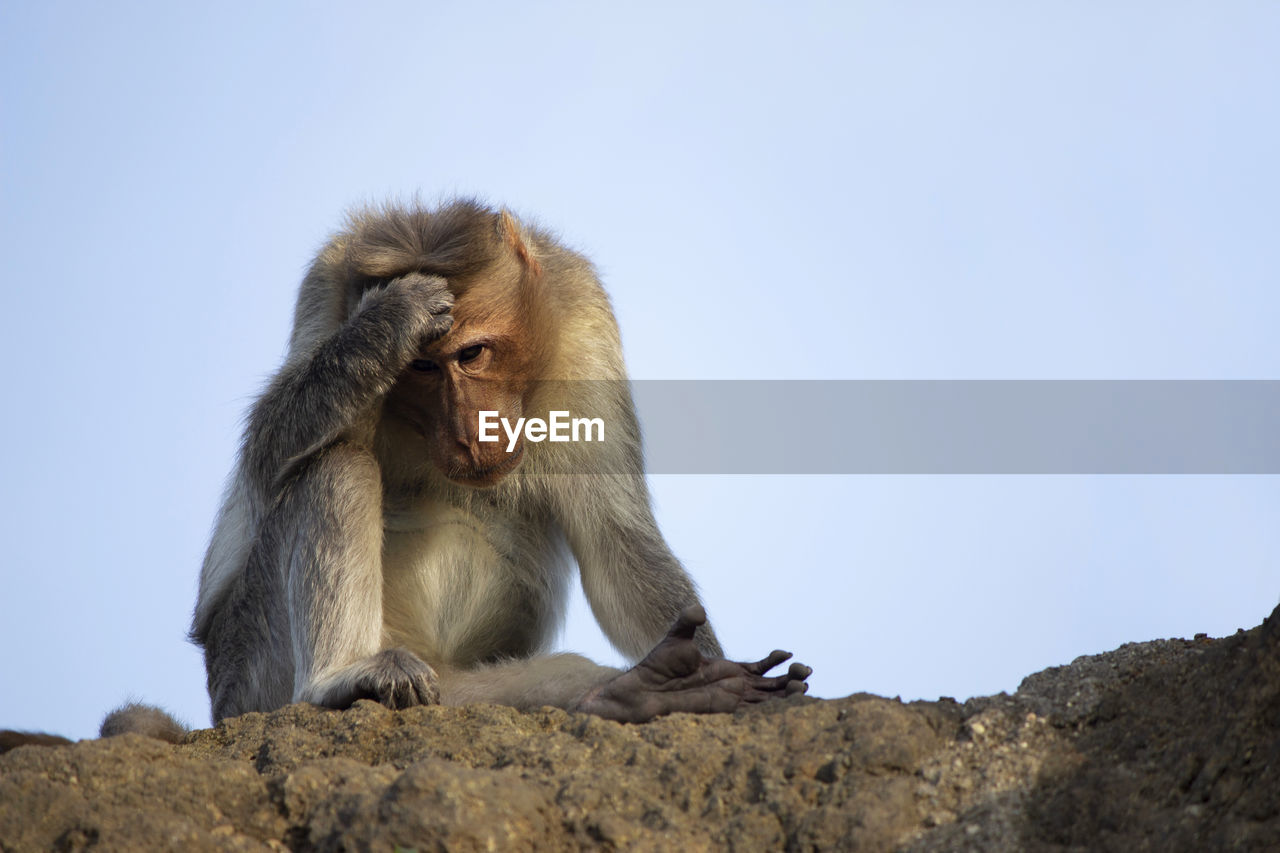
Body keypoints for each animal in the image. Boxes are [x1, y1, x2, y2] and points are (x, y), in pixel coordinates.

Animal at [189, 199, 808, 722]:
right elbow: (264, 460)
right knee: (337, 463)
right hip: (246, 674)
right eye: (420, 366)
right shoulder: (322, 292)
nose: (469, 434)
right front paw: (384, 323)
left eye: (473, 353)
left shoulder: (583, 320)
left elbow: (614, 539)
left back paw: (633, 691)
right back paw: (336, 681)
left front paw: (705, 670)